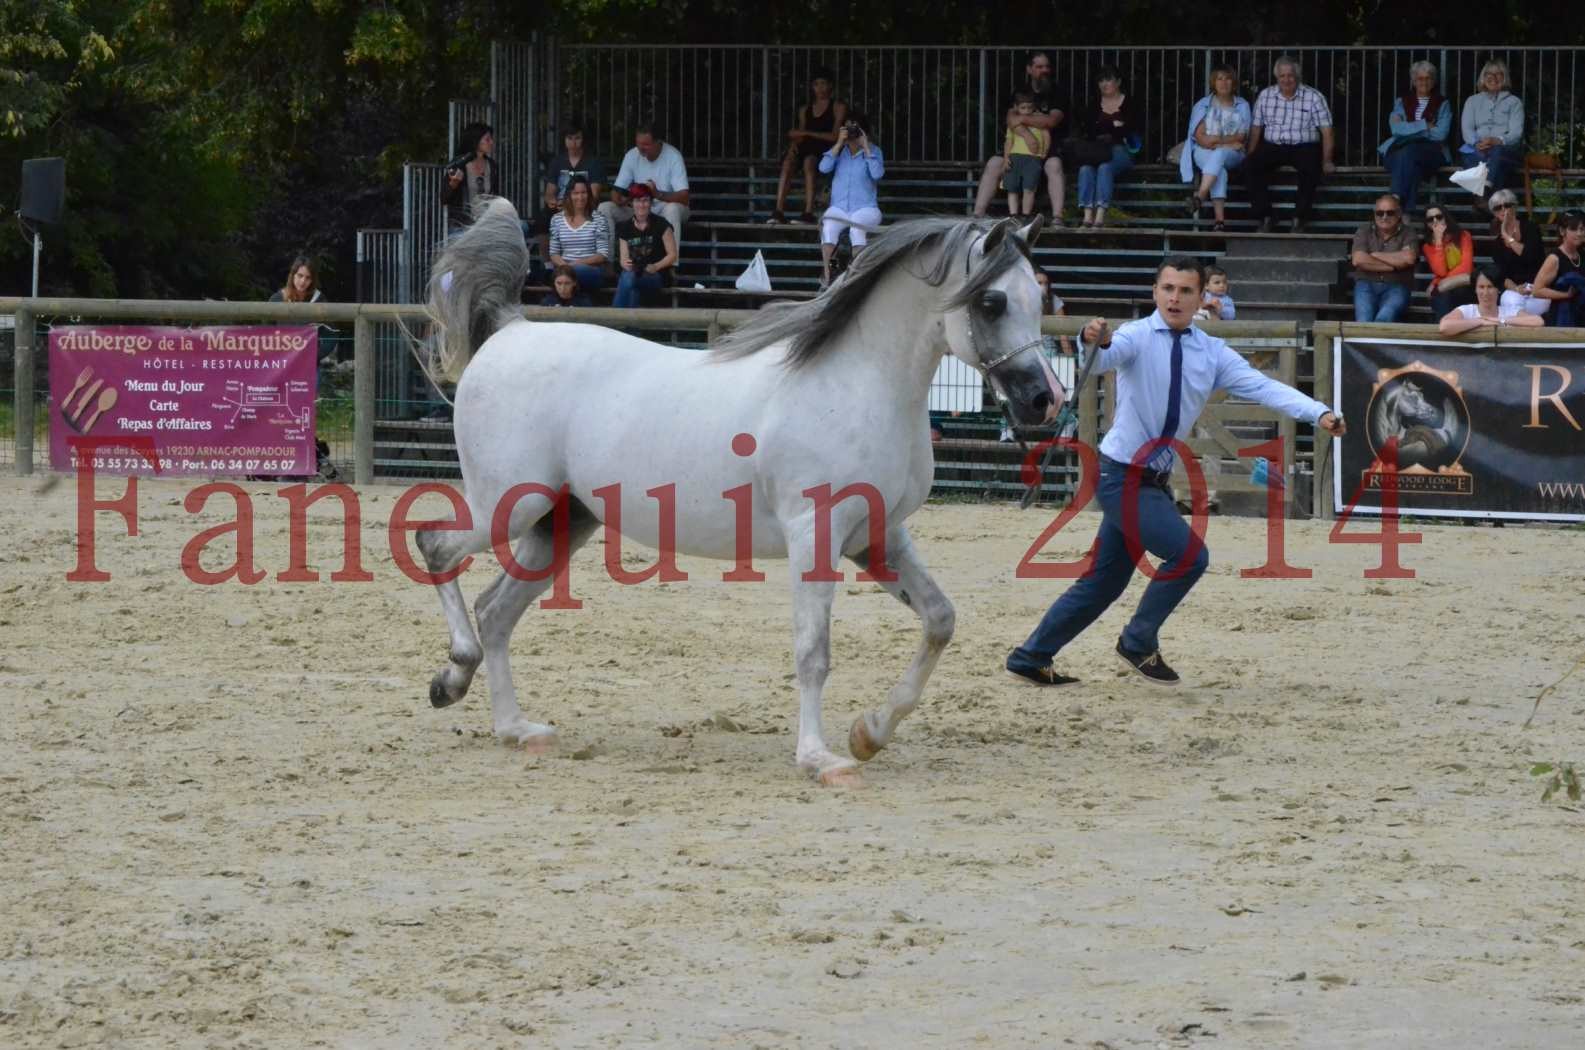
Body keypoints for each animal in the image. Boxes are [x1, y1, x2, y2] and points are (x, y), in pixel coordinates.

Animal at [421, 199, 1065, 789]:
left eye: (1036, 299)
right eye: (991, 302)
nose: (1043, 400)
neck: (857, 385)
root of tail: (512, 328)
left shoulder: (877, 537)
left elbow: (939, 620)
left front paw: (869, 733)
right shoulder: (816, 535)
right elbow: (813, 651)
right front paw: (821, 759)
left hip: (561, 520)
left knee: (496, 611)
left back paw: (516, 729)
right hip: (507, 506)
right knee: (435, 548)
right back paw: (453, 676)